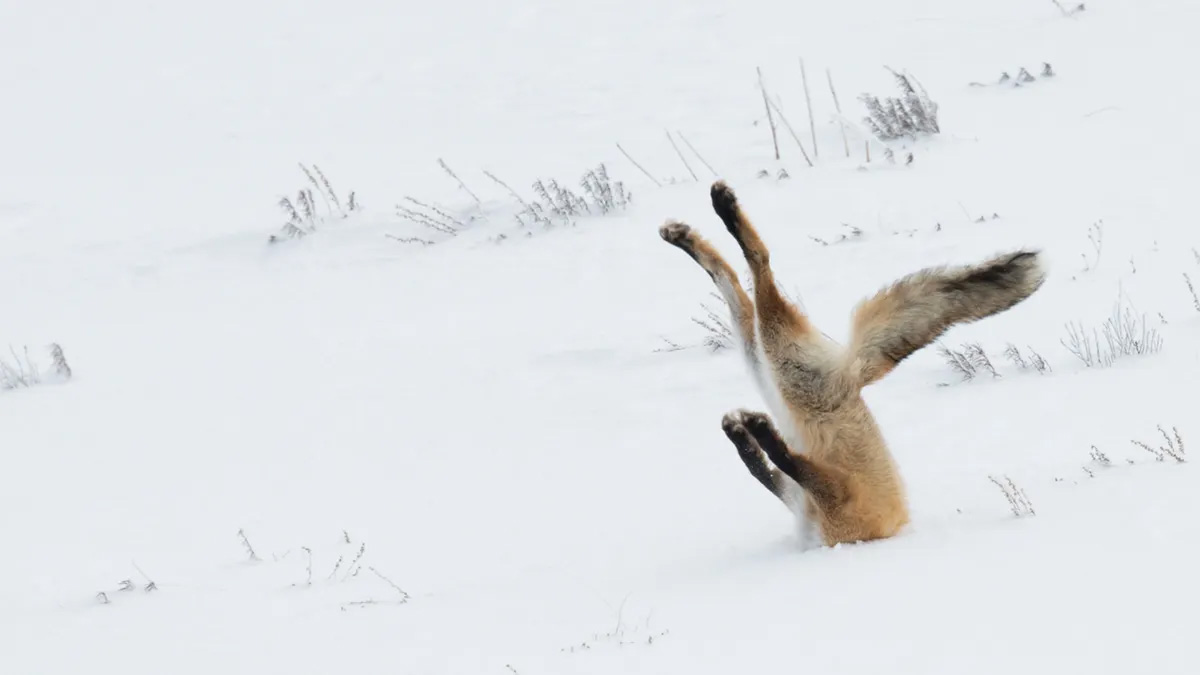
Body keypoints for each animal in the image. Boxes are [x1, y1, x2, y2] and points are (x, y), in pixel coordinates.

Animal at [660, 181, 1046, 547]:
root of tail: (854, 374)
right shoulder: (807, 497)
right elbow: (763, 467)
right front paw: (744, 434)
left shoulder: (836, 499)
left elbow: (780, 462)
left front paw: (755, 432)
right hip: (765, 362)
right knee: (733, 281)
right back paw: (686, 234)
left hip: (780, 362)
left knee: (759, 266)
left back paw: (722, 210)